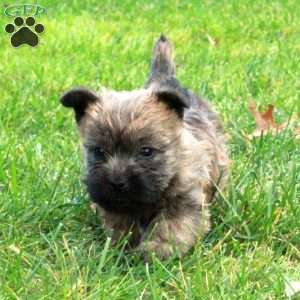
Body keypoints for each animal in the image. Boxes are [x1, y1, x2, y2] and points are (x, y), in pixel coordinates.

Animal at [61, 35, 230, 260]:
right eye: (99, 151)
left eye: (146, 151)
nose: (117, 183)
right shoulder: (115, 205)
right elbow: (122, 225)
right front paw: (124, 248)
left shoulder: (185, 201)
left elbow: (172, 226)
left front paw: (158, 251)